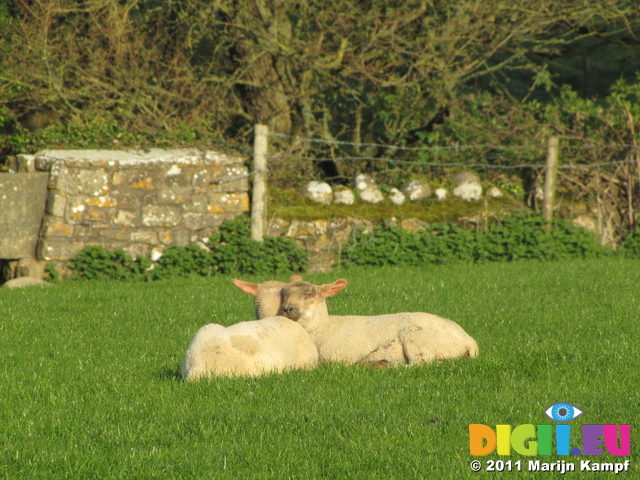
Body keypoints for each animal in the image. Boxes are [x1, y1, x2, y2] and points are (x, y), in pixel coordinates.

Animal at [232, 276, 478, 366]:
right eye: (284, 294)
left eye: (310, 294)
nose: (287, 309)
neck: (324, 329)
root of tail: (469, 341)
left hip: (418, 339)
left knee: (421, 363)